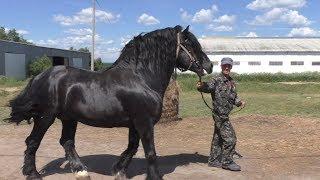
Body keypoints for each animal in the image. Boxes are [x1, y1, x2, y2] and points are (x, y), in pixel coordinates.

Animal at [6, 25, 212, 180]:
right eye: (190, 44)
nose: (208, 66)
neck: (141, 78)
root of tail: (40, 76)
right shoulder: (144, 122)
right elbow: (150, 151)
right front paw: (153, 176)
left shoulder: (135, 123)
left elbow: (132, 147)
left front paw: (119, 170)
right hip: (45, 117)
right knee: (33, 141)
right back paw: (32, 173)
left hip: (69, 118)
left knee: (67, 141)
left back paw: (81, 171)